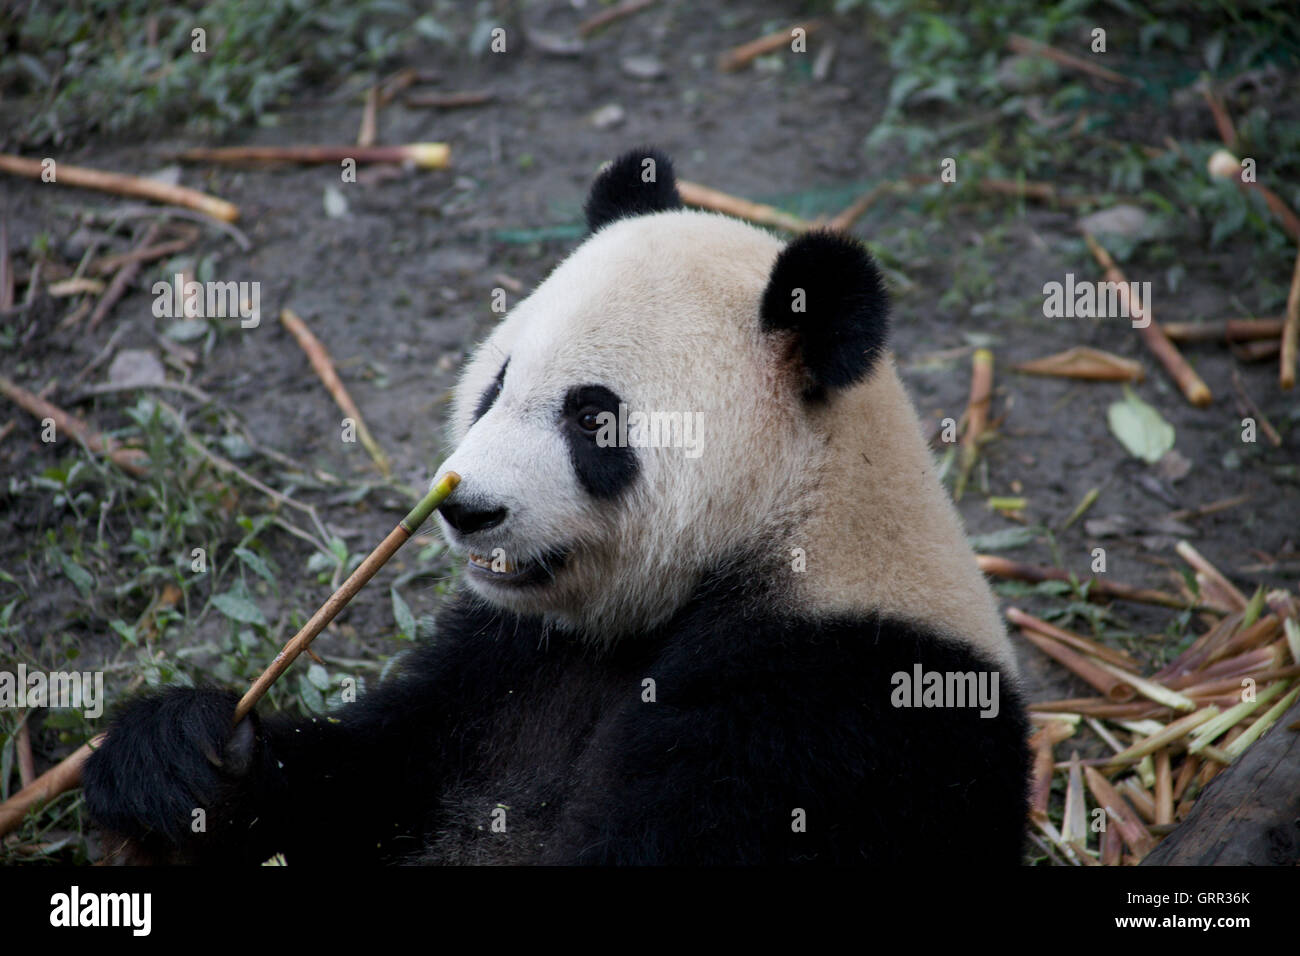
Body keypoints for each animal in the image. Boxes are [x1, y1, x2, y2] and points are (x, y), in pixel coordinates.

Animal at [86, 149, 1029, 868]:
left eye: (592, 418)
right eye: (496, 385)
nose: (468, 512)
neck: (795, 520)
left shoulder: (827, 706)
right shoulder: (507, 661)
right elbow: (373, 779)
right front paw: (184, 755)